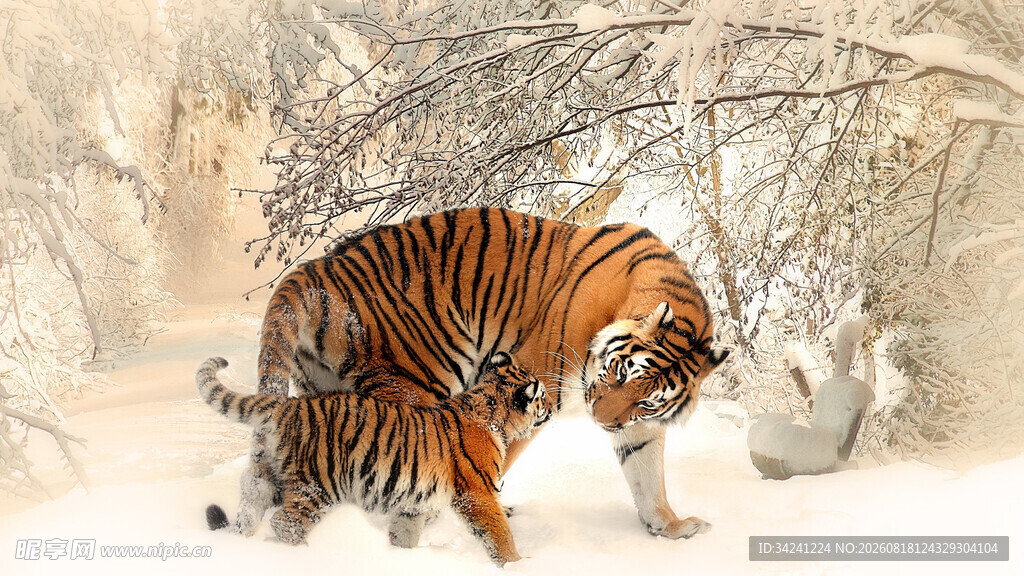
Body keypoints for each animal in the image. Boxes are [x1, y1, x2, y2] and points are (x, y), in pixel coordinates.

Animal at [198, 352, 548, 566]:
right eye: (542, 396)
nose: (550, 407)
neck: (490, 411)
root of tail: (289, 405)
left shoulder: (414, 501)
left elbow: (406, 532)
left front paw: (400, 557)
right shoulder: (477, 493)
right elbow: (498, 534)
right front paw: (516, 564)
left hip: (265, 478)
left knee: (250, 510)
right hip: (317, 485)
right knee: (285, 522)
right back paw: (305, 555)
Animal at [251, 207, 728, 542]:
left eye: (645, 400)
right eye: (617, 373)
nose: (601, 421)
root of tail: (314, 270)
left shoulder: (639, 425)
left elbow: (648, 476)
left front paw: (670, 527)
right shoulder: (533, 382)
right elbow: (495, 454)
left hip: (322, 392)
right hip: (417, 381)